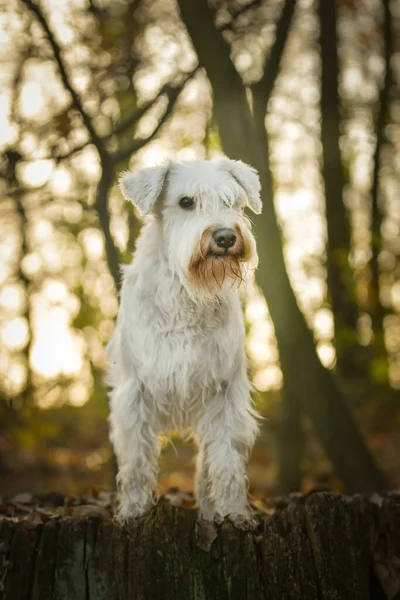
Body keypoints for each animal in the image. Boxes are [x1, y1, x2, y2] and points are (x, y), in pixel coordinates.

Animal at [106, 157, 262, 528]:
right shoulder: (134, 393)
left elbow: (226, 462)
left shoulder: (224, 395)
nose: (225, 236)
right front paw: (132, 512)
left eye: (232, 201)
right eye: (186, 202)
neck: (186, 293)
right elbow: (136, 463)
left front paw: (235, 513)